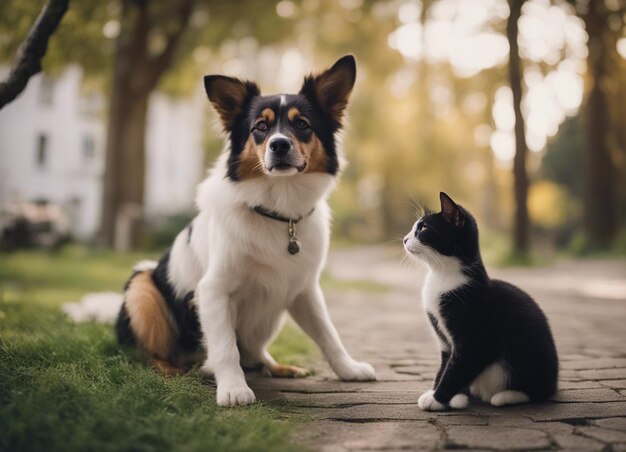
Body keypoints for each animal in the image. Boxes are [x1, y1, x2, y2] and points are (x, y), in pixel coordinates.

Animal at [114, 55, 372, 406]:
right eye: (260, 127)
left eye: (302, 124)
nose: (279, 144)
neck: (279, 213)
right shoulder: (213, 290)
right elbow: (225, 348)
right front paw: (233, 389)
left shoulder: (305, 290)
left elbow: (328, 334)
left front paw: (349, 369)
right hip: (142, 286)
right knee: (154, 354)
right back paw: (176, 369)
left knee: (255, 351)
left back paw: (276, 367)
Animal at [404, 192, 556, 412]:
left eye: (423, 228)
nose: (405, 239)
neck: (443, 276)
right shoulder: (445, 341)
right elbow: (446, 364)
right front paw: (447, 395)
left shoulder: (476, 338)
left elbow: (459, 367)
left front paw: (437, 398)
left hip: (528, 353)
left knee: (538, 391)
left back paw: (506, 396)